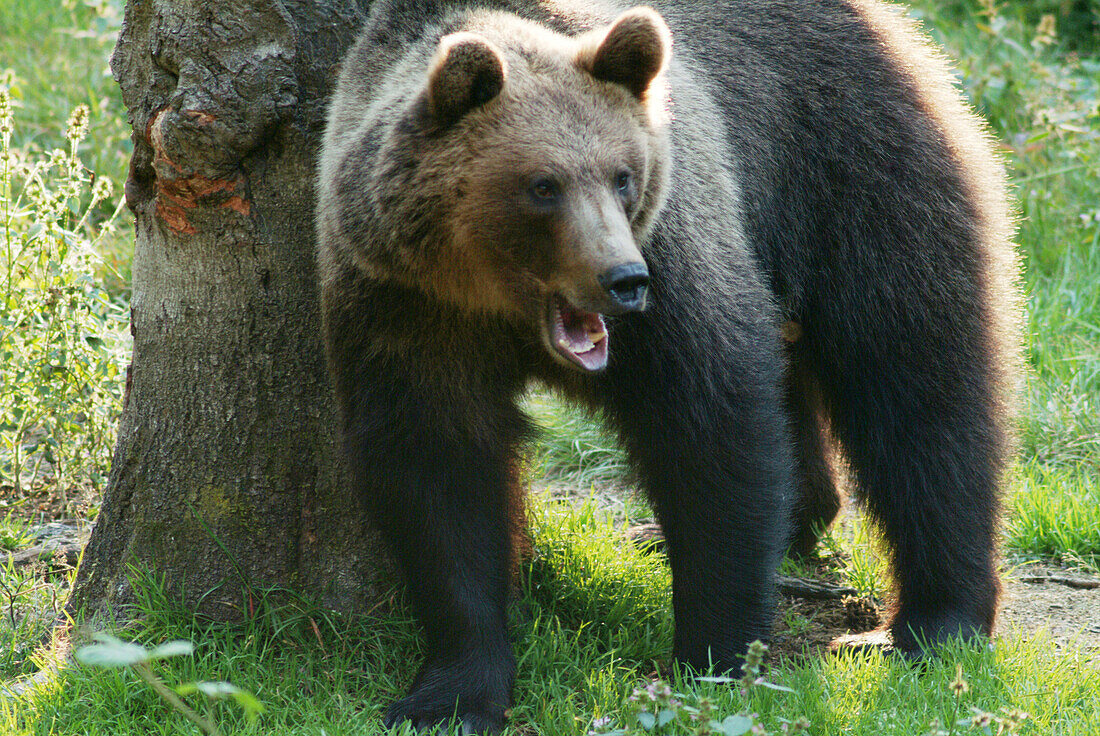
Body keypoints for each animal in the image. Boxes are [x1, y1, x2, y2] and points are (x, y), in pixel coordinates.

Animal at [314, 2, 1016, 730]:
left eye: (623, 175)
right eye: (542, 185)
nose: (622, 279)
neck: (503, 306)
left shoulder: (673, 273)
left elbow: (714, 430)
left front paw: (712, 656)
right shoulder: (407, 312)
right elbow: (438, 474)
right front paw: (449, 693)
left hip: (856, 173)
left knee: (918, 392)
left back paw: (928, 623)